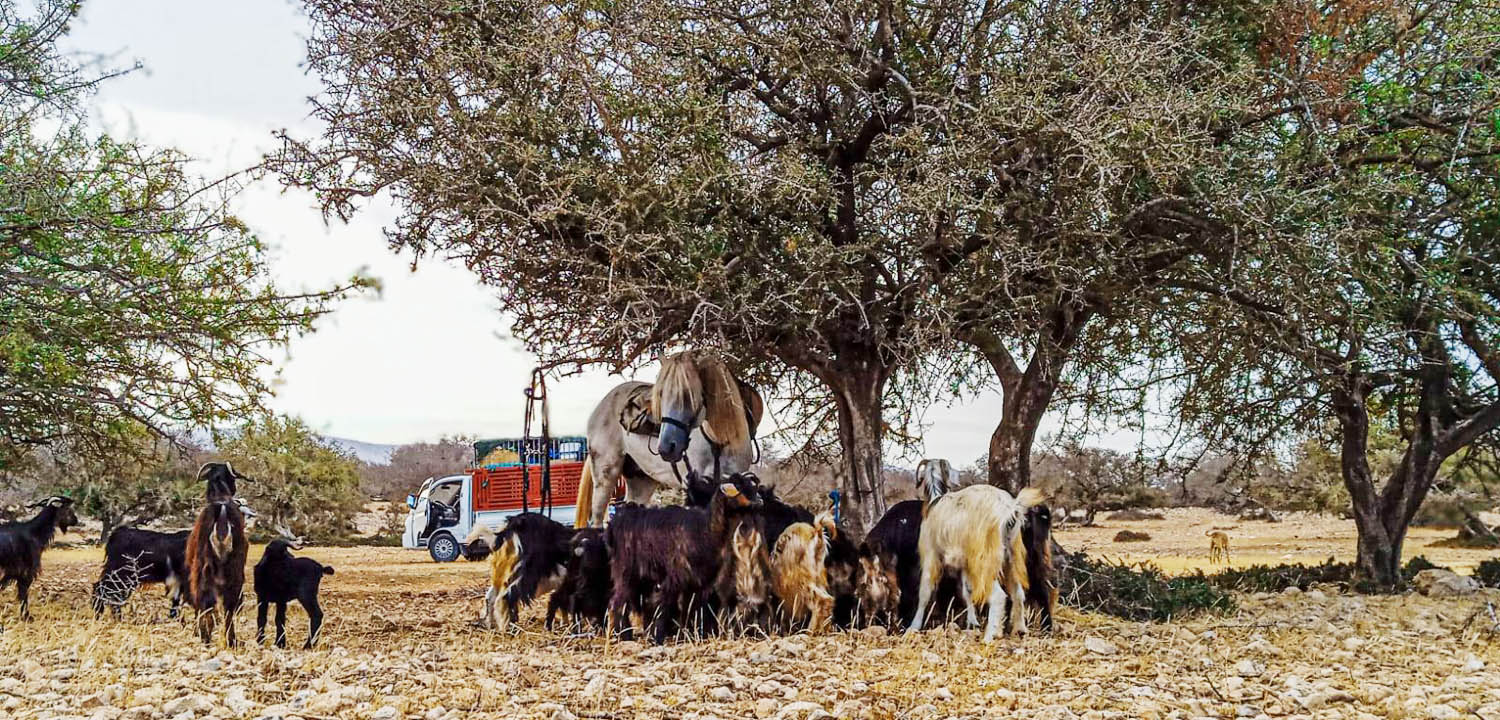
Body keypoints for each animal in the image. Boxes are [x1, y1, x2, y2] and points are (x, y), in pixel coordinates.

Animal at [574, 350, 764, 528]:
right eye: (660, 395)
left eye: (688, 394)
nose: (666, 448)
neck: (719, 439)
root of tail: (601, 406)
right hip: (605, 475)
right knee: (597, 519)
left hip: (641, 480)